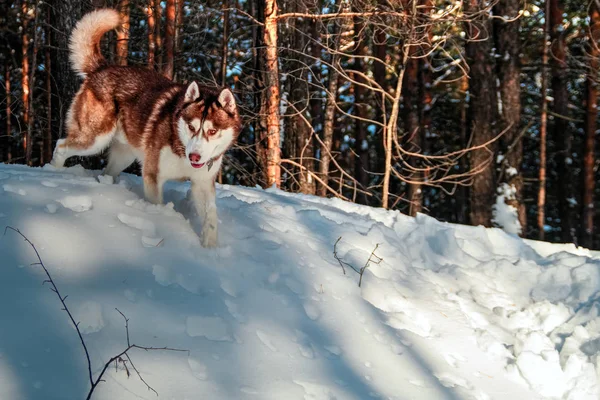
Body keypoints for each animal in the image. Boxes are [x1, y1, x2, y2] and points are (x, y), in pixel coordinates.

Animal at [50, 9, 240, 247]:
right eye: (191, 126)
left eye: (212, 131)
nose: (195, 157)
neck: (180, 146)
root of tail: (103, 68)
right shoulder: (152, 175)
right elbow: (157, 204)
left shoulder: (202, 183)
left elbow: (211, 217)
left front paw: (210, 249)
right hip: (94, 139)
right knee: (61, 146)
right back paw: (53, 173)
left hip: (124, 155)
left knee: (107, 170)